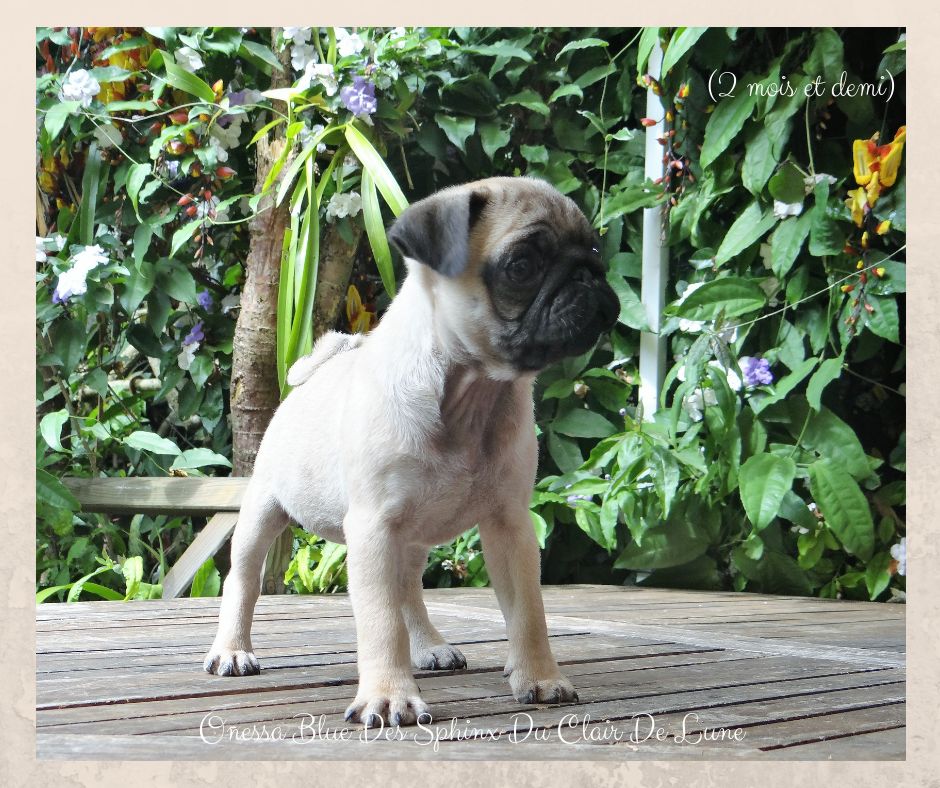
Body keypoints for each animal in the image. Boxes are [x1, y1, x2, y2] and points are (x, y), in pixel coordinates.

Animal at [202, 177, 620, 728]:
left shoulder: (509, 525)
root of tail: (318, 369)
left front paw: (540, 677)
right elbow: (380, 622)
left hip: (413, 539)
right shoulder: (374, 527)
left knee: (409, 590)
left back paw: (429, 646)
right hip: (264, 512)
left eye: (594, 251)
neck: (472, 394)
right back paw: (232, 650)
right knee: (244, 580)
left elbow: (528, 612)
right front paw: (388, 696)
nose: (589, 276)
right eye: (522, 265)